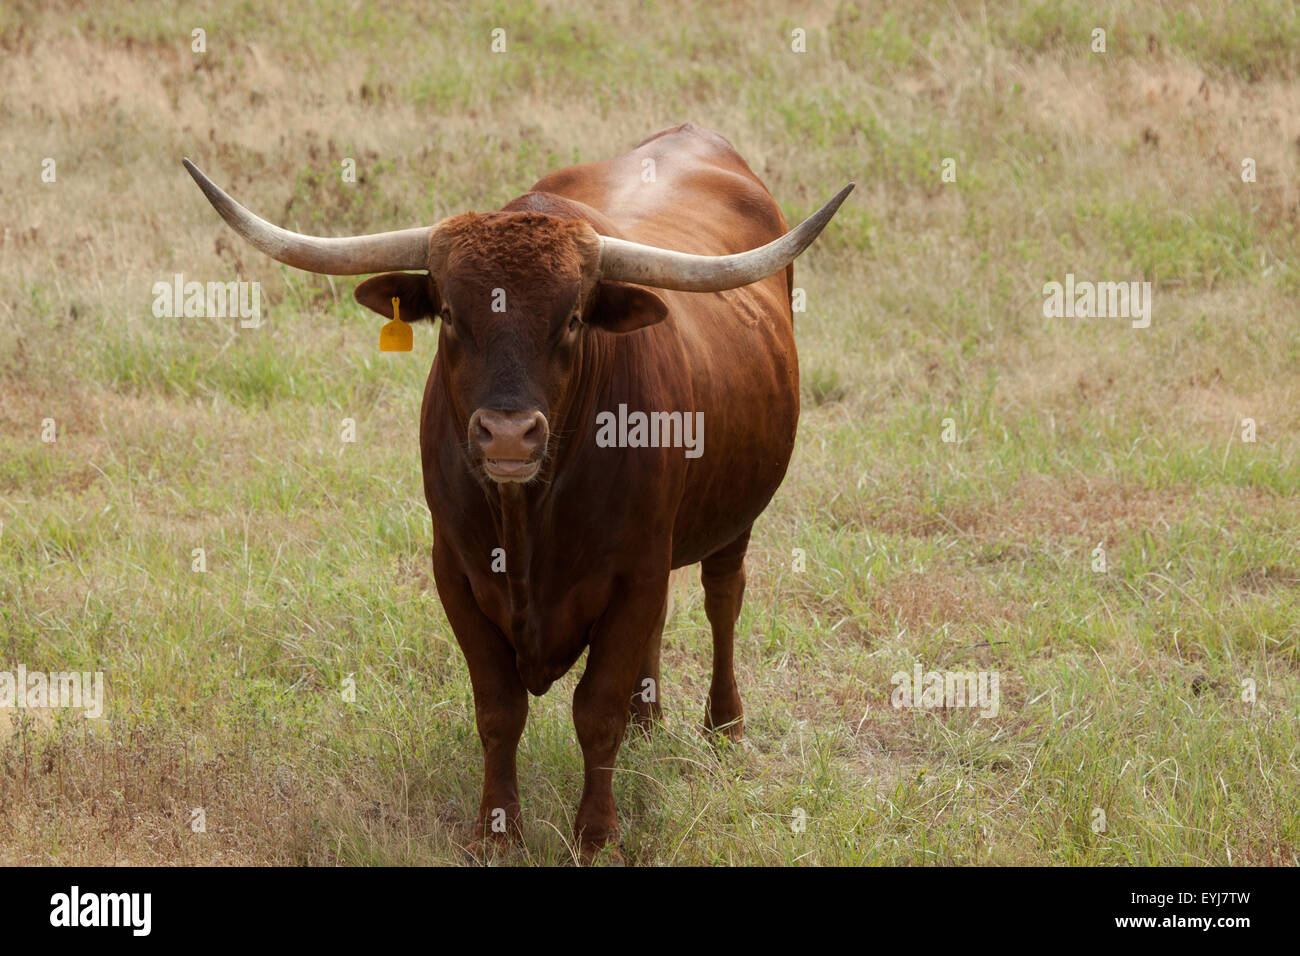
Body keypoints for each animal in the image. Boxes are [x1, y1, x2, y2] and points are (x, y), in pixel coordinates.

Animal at [183, 123, 852, 863]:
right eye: (450, 314)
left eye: (573, 320)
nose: (507, 434)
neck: (527, 515)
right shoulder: (457, 573)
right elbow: (499, 710)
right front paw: (497, 830)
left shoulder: (634, 574)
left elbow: (597, 710)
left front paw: (596, 836)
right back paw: (651, 721)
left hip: (734, 519)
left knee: (722, 598)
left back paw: (724, 725)